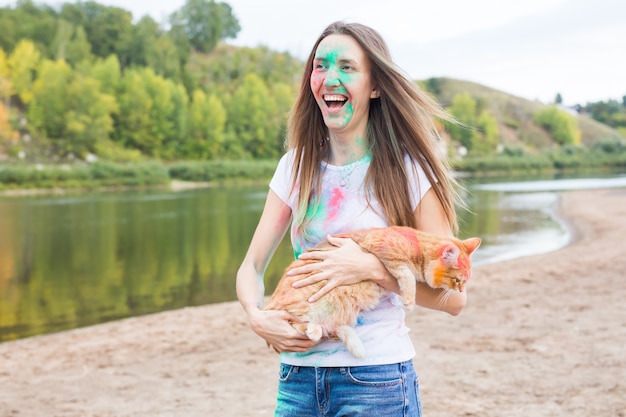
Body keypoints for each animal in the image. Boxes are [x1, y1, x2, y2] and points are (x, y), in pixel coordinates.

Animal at [262, 224, 478, 358]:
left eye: (465, 282)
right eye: (458, 280)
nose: (461, 291)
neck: (416, 243)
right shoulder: (386, 253)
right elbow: (407, 275)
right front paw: (409, 299)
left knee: (332, 328)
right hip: (302, 305)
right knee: (295, 322)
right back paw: (312, 330)